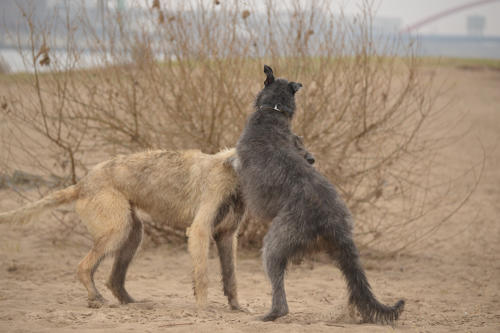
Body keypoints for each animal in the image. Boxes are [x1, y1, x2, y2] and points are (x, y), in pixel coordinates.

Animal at [236, 64, 404, 322]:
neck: (274, 113)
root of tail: (335, 221)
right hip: (335, 250)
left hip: (278, 240)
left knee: (280, 292)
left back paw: (270, 315)